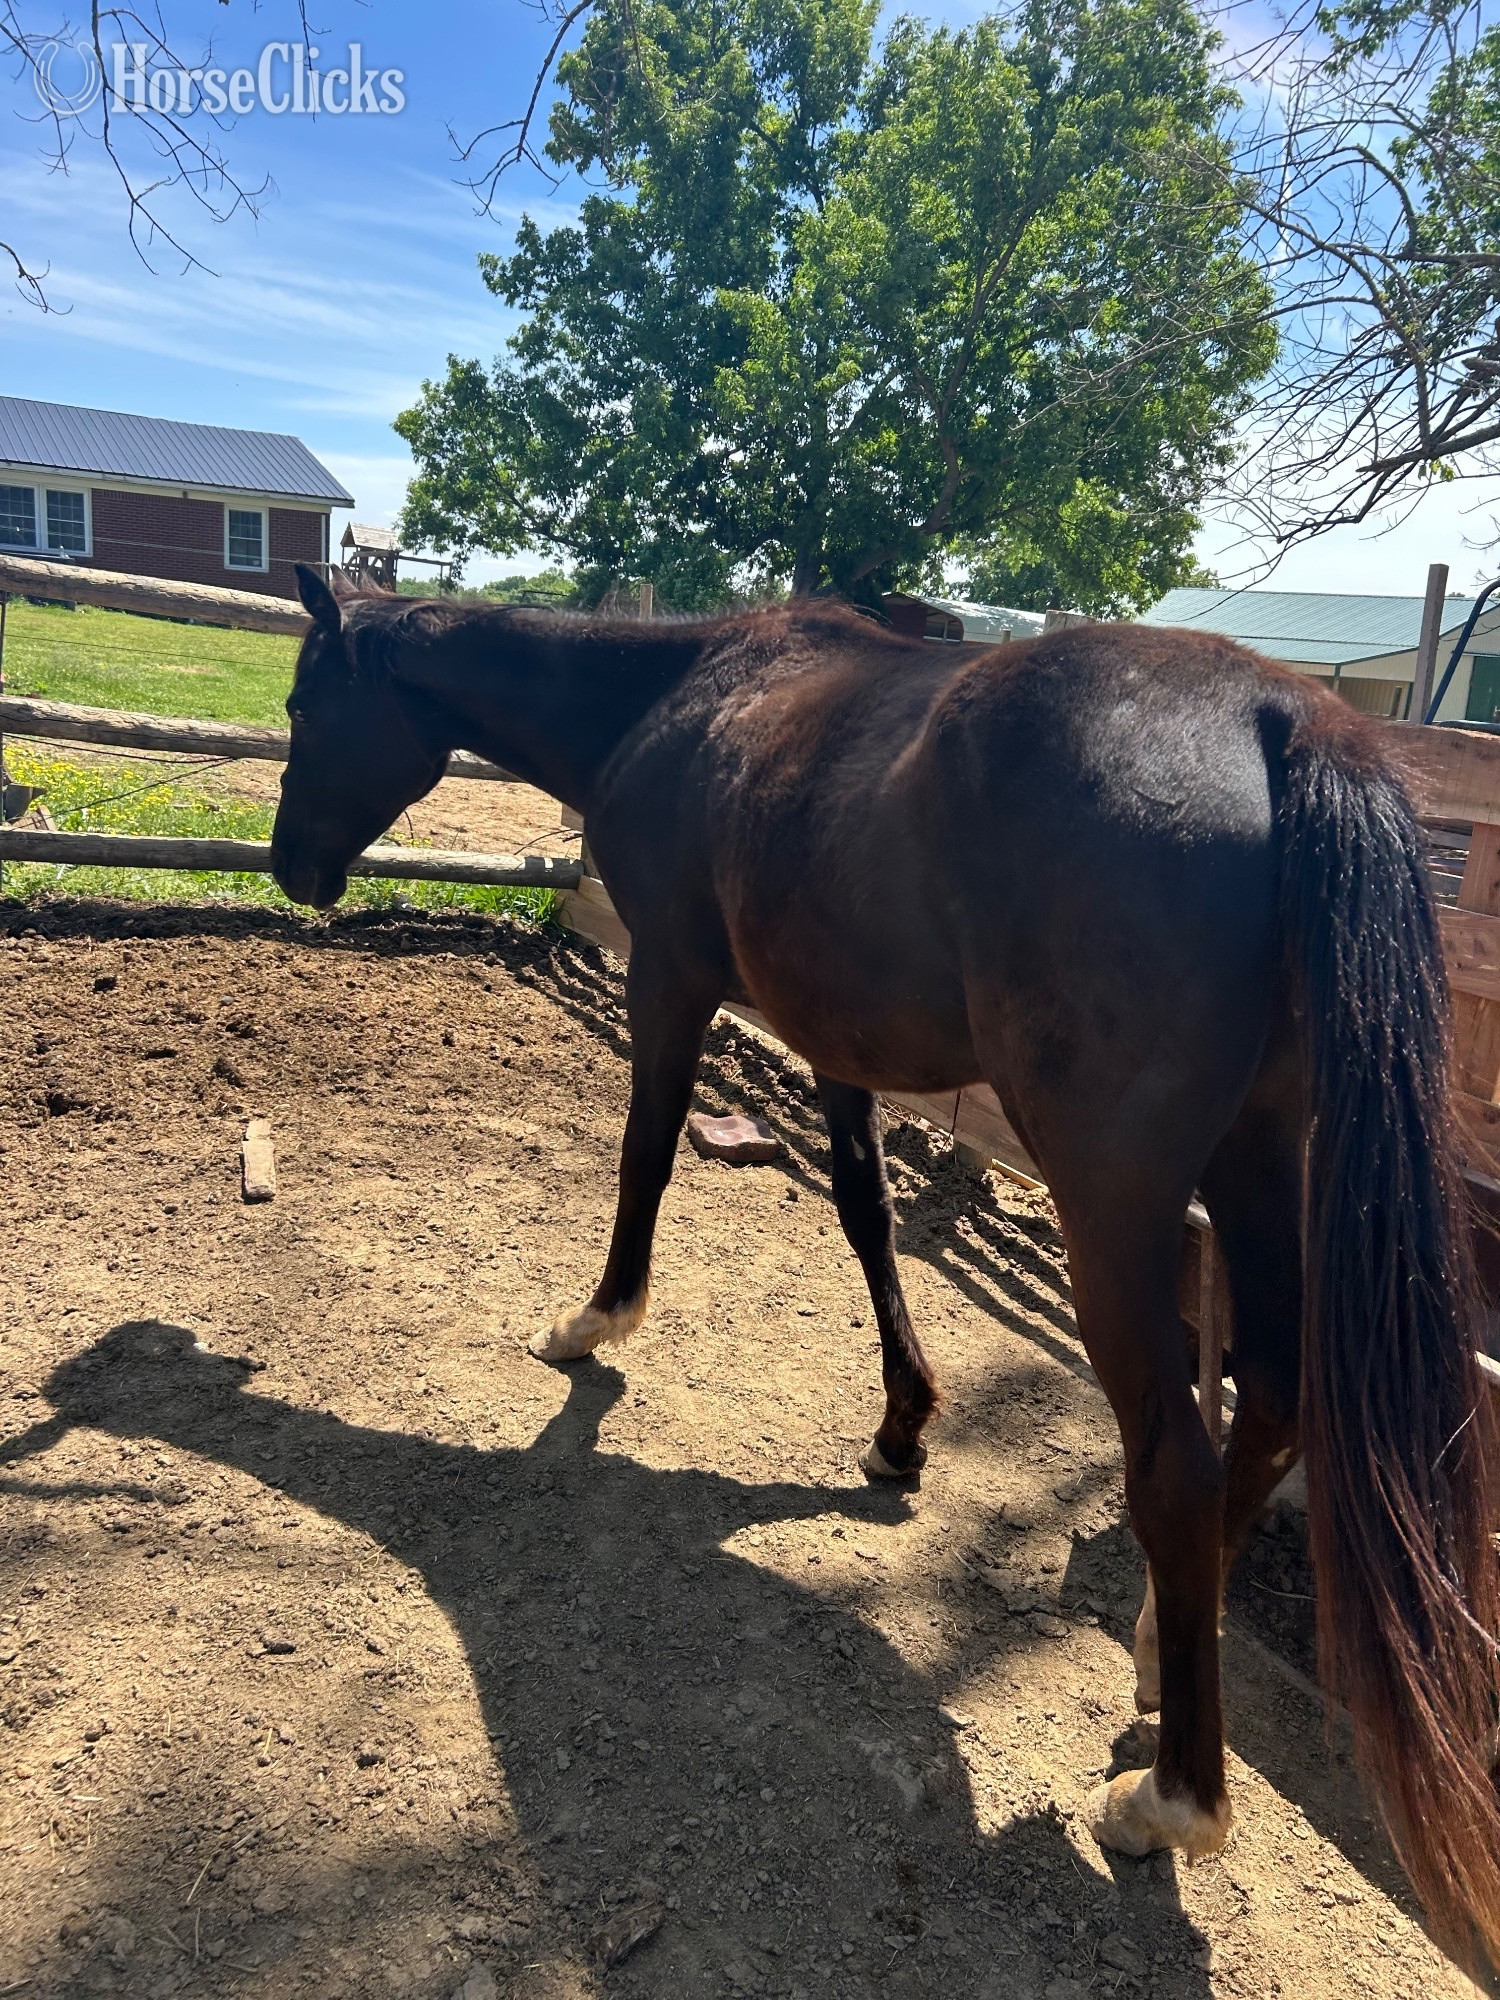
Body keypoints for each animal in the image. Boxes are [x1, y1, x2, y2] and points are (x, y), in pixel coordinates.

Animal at [271, 563, 1500, 1964]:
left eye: (306, 703)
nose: (290, 864)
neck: (687, 695)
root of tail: (1277, 719)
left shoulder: (672, 980)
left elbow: (645, 1155)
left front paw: (594, 1322)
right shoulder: (835, 1037)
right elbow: (864, 1213)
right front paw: (901, 1423)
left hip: (1117, 1196)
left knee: (1175, 1464)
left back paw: (1171, 1802)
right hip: (1259, 1151)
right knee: (1281, 1399)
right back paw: (1148, 1647)